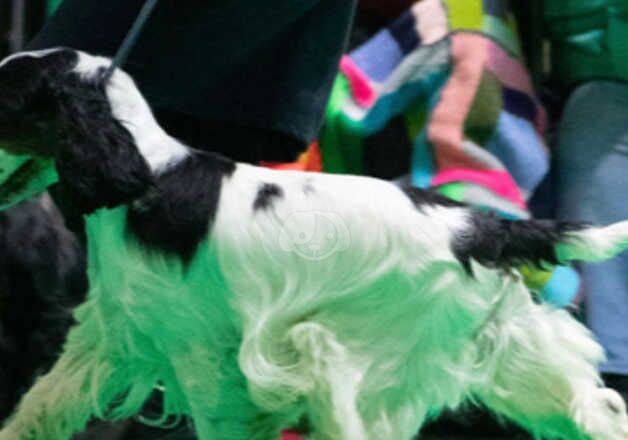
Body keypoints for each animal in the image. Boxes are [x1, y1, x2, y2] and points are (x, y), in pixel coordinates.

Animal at [1, 48, 628, 440]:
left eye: (7, 94)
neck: (147, 178)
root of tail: (482, 226)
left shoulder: (205, 354)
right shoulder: (113, 335)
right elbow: (41, 404)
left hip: (364, 349)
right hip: (514, 350)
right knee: (594, 411)